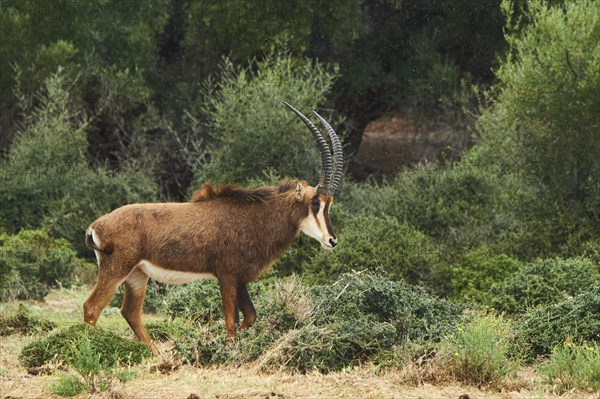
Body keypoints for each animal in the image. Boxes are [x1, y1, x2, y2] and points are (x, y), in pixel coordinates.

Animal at [82, 102, 342, 354]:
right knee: (92, 307)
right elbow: (231, 321)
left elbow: (249, 317)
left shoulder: (239, 279)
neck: (255, 216)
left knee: (130, 312)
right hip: (116, 269)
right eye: (315, 202)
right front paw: (224, 351)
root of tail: (96, 226)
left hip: (137, 275)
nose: (332, 240)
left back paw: (158, 355)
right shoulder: (226, 277)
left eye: (329, 203)